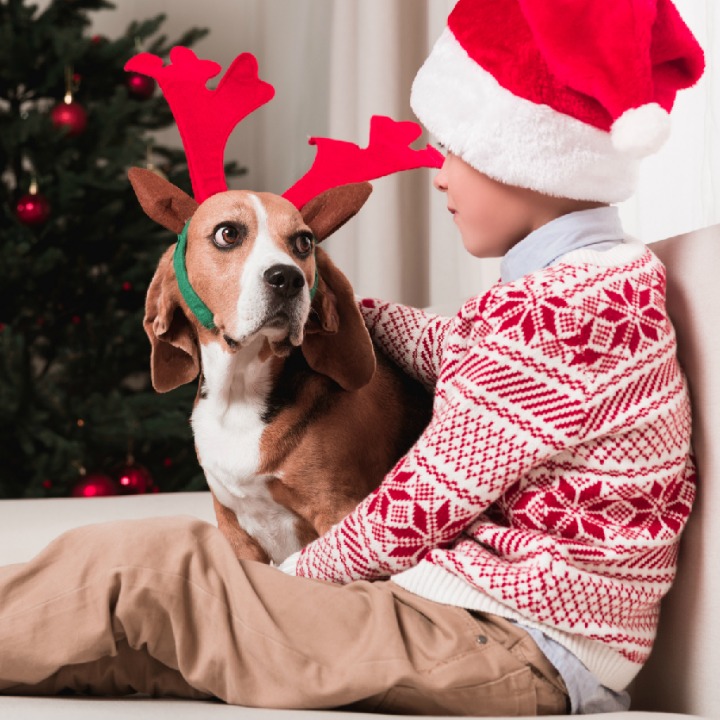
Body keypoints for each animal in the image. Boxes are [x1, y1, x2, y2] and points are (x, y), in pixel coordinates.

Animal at [130, 169, 434, 564]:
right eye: (228, 233)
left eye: (304, 242)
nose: (288, 278)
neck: (239, 394)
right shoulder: (234, 531)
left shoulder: (338, 510)